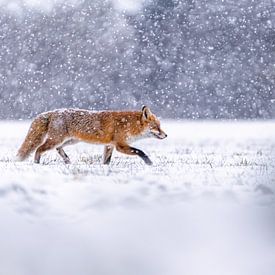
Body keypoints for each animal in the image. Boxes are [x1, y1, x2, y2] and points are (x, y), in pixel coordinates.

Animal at [17, 105, 168, 166]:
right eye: (156, 127)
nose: (166, 135)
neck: (129, 124)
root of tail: (52, 112)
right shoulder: (120, 145)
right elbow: (140, 151)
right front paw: (149, 163)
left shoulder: (109, 145)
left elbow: (106, 161)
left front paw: (104, 169)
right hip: (57, 139)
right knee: (39, 149)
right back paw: (37, 163)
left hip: (69, 141)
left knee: (58, 149)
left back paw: (67, 161)